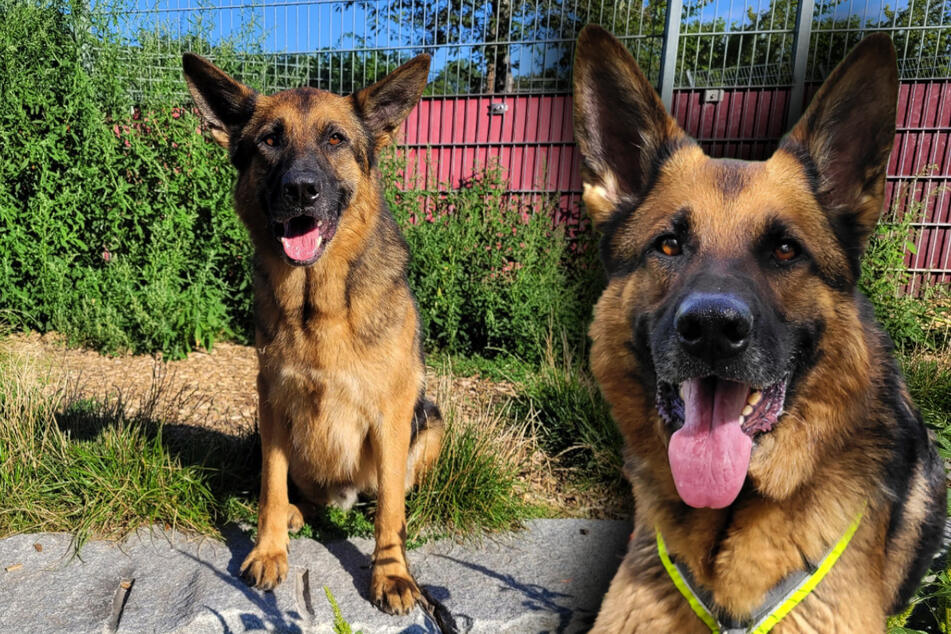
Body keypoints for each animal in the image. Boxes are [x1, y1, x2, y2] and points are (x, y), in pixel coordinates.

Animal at [184, 55, 444, 612]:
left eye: (335, 139)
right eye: (270, 140)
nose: (302, 189)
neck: (317, 305)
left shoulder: (392, 412)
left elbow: (390, 510)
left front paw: (391, 573)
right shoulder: (271, 399)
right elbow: (270, 486)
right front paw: (269, 549)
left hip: (428, 422)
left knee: (394, 492)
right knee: (289, 488)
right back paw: (295, 513)